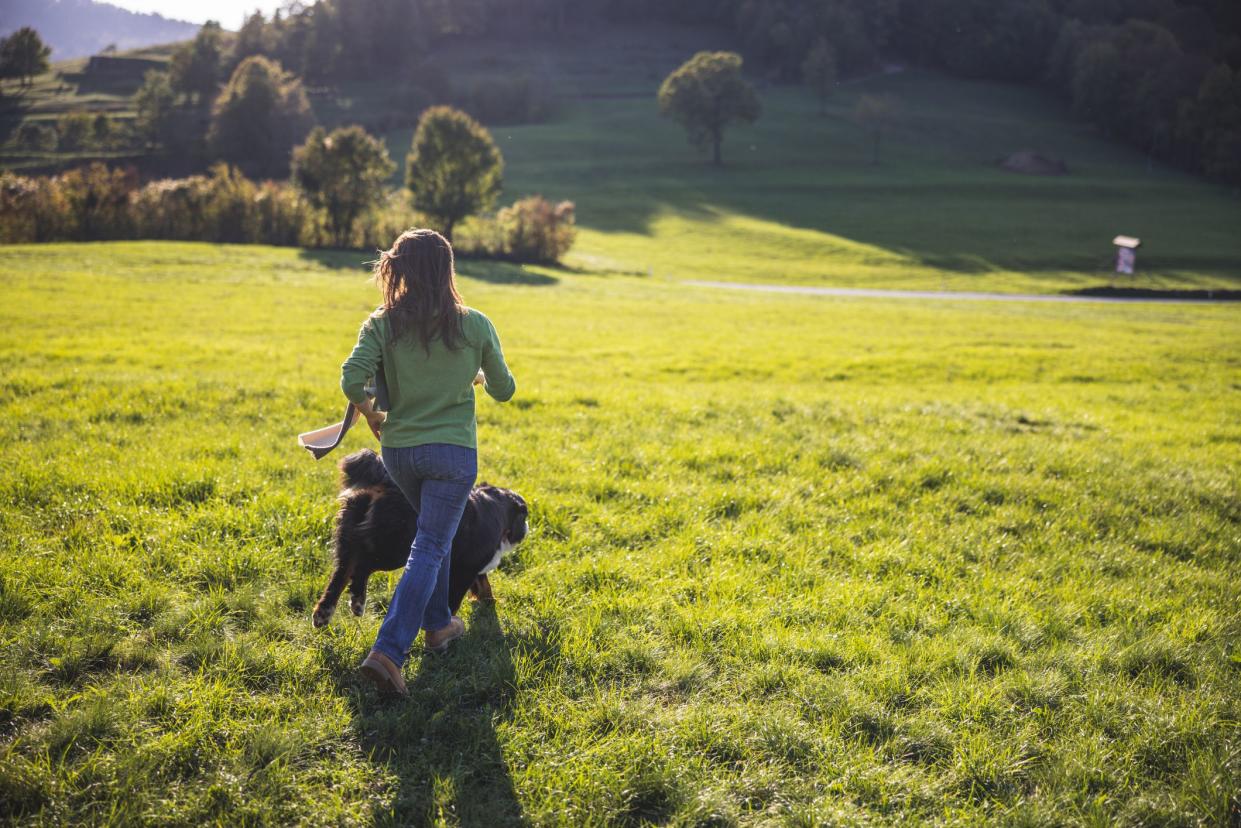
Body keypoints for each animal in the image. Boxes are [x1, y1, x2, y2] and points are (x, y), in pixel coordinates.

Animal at [312, 449, 526, 630]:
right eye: (524, 516)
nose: (526, 528)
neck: (495, 507)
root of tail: (383, 484)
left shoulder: (474, 567)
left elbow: (485, 586)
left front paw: (490, 604)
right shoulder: (465, 569)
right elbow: (455, 598)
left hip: (350, 541)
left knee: (340, 576)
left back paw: (324, 613)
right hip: (392, 549)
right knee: (361, 569)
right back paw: (356, 600)